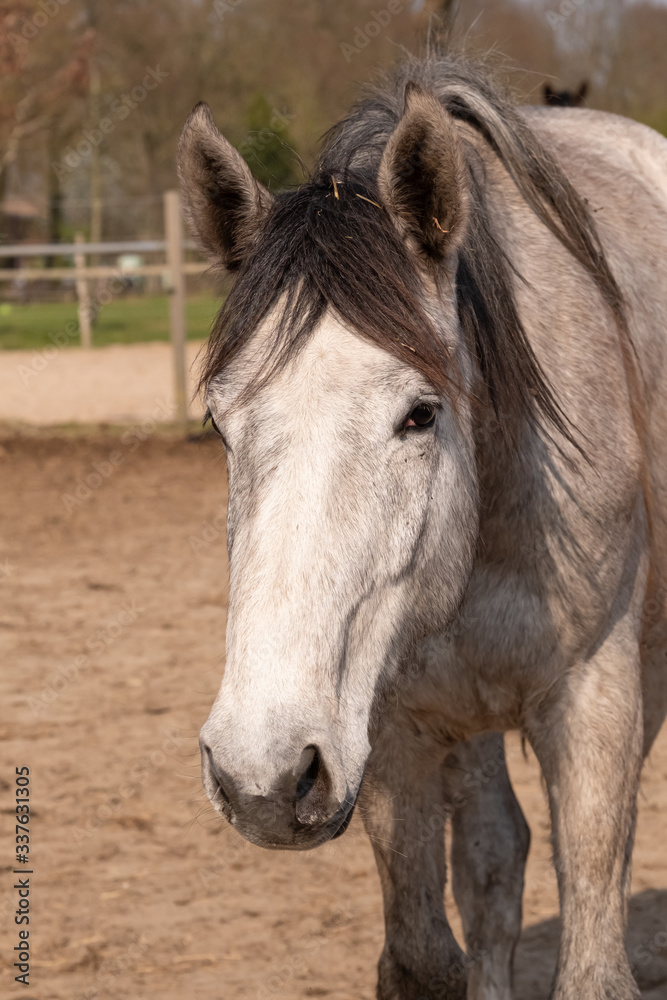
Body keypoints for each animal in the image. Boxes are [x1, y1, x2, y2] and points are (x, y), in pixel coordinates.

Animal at [178, 53, 667, 1000]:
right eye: (219, 423)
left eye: (419, 414)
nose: (258, 776)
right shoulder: (386, 731)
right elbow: (423, 949)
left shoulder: (595, 702)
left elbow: (592, 953)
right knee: (493, 860)